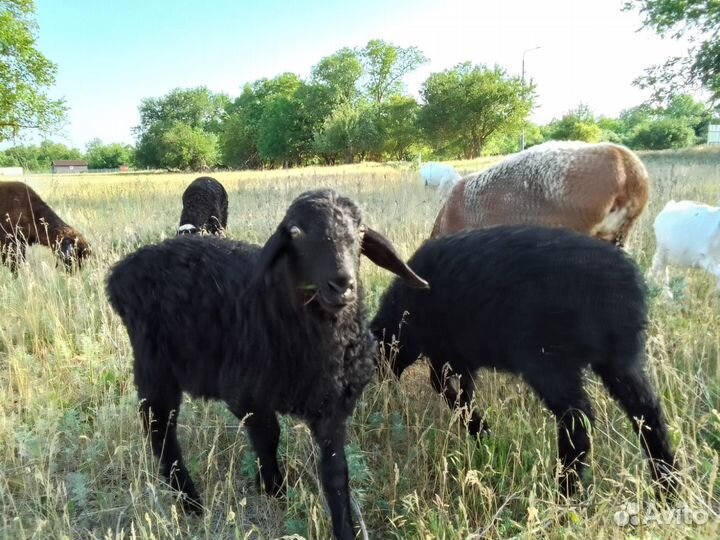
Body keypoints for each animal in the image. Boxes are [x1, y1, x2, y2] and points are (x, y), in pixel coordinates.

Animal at [106, 189, 429, 540]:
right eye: (296, 233)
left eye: (359, 232)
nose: (342, 284)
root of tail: (122, 270)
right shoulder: (247, 397)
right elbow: (269, 437)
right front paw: (275, 488)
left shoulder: (332, 409)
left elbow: (335, 472)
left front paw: (344, 527)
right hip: (154, 366)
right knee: (159, 428)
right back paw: (189, 500)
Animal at [371, 225, 677, 498]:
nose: (383, 382)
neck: (401, 311)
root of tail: (623, 284)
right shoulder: (458, 357)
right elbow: (460, 393)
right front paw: (479, 430)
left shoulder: (446, 351)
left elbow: (444, 387)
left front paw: (479, 429)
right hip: (620, 360)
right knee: (647, 413)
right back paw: (667, 487)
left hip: (549, 362)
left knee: (578, 419)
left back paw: (564, 492)